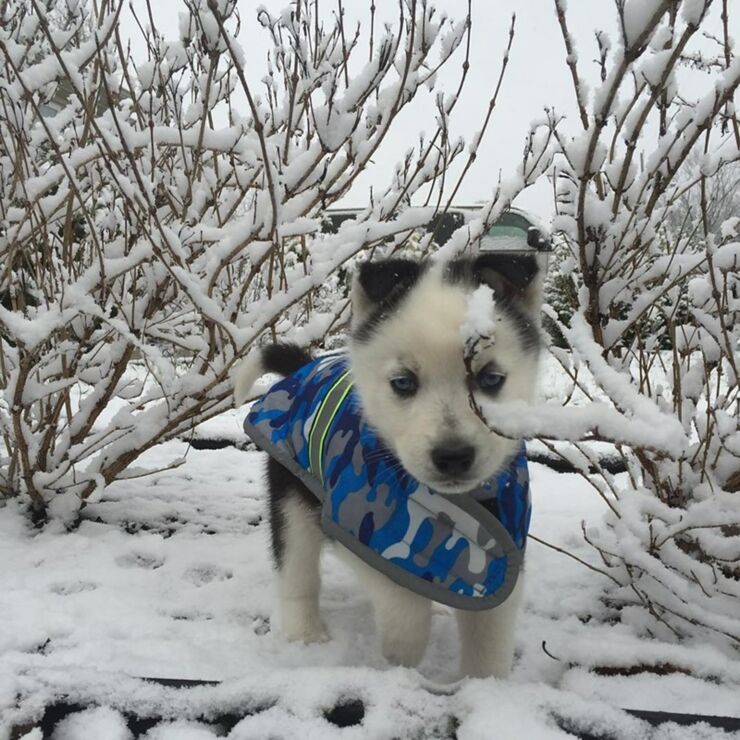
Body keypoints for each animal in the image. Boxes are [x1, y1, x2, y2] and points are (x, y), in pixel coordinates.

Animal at [234, 254, 540, 676]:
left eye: (491, 378)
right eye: (403, 383)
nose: (453, 456)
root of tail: (303, 369)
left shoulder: (506, 554)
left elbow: (490, 637)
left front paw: (485, 686)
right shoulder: (350, 526)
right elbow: (406, 608)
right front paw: (401, 661)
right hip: (294, 496)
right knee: (297, 570)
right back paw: (306, 634)